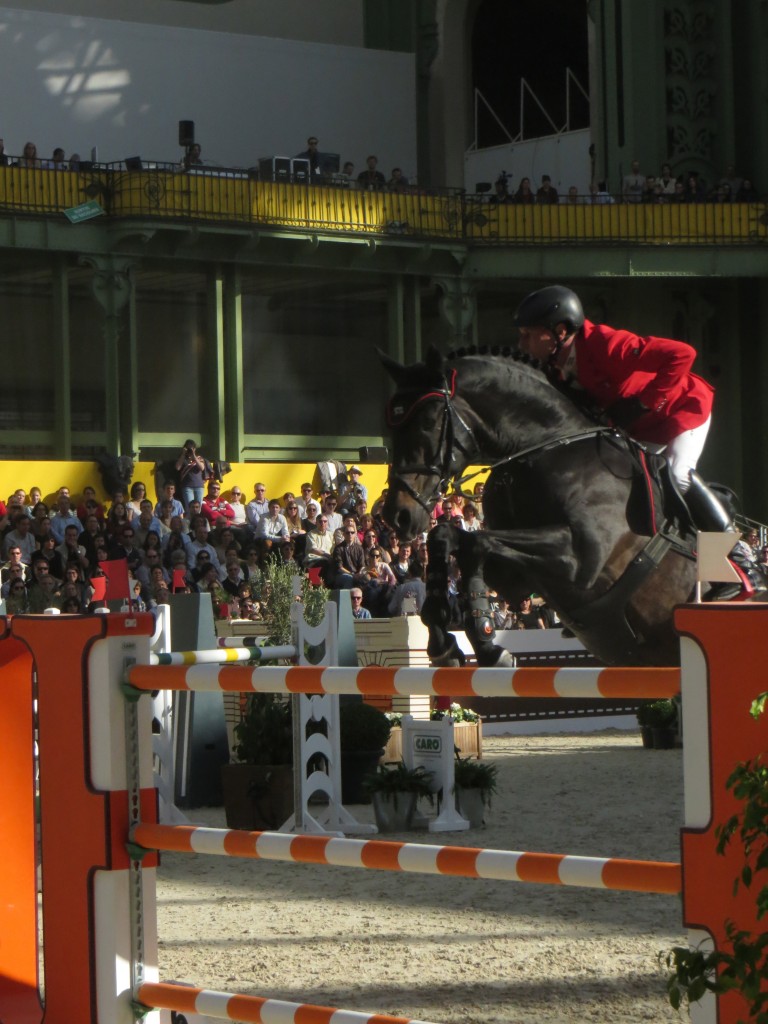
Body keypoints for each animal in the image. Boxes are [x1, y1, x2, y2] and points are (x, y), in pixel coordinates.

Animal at [385, 344, 708, 663]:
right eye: (388, 427)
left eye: (428, 423)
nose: (398, 515)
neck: (544, 445)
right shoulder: (516, 578)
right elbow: (447, 537)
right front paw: (446, 641)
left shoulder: (581, 558)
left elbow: (478, 542)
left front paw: (487, 641)